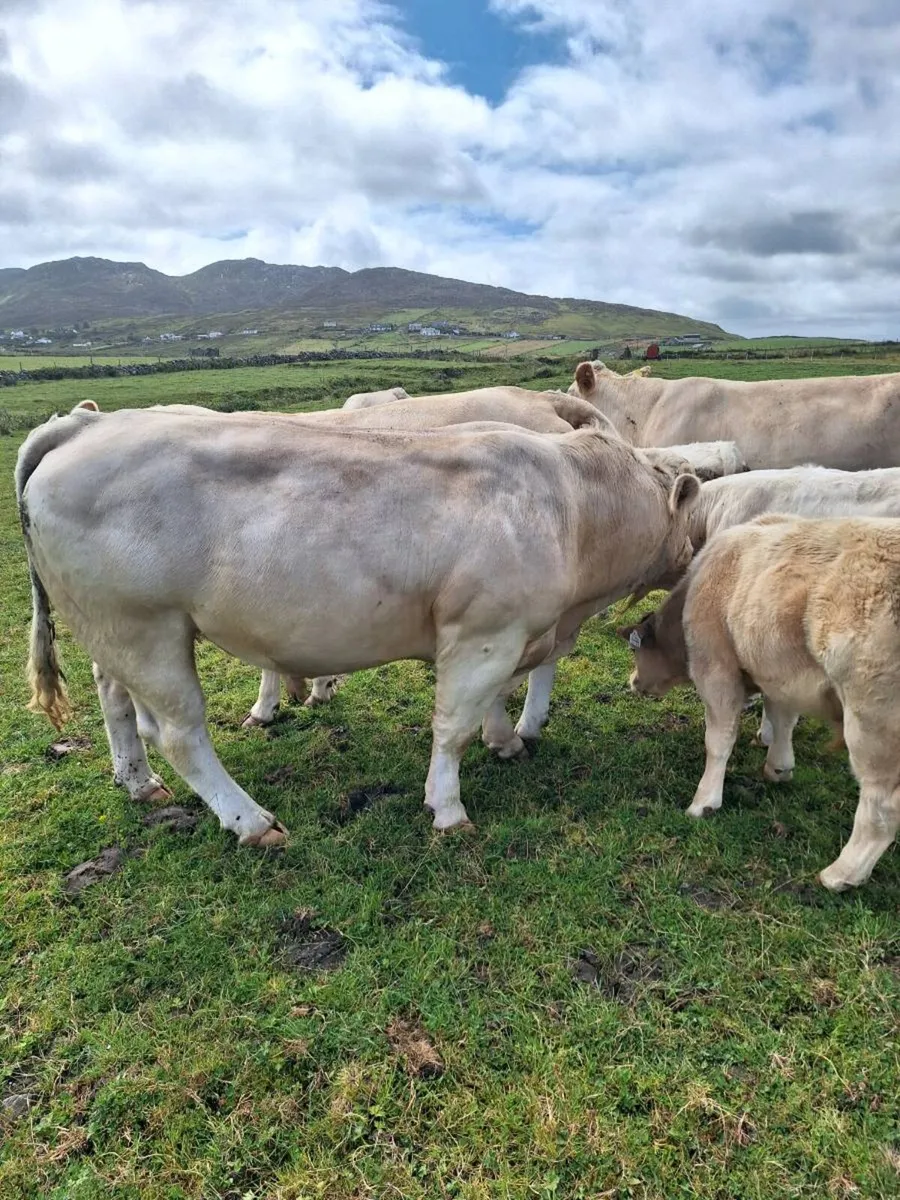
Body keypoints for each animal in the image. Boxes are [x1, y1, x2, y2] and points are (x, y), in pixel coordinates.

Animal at [17, 407, 700, 847]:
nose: (694, 553)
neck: (574, 506)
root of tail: (86, 425)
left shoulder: (511, 636)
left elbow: (492, 704)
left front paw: (505, 741)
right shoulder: (484, 632)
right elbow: (453, 725)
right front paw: (448, 808)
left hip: (112, 630)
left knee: (115, 700)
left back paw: (139, 784)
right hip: (145, 629)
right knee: (178, 733)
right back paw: (253, 823)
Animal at [618, 514, 900, 891]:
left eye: (636, 651)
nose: (633, 681)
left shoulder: (715, 668)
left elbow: (719, 741)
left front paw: (704, 802)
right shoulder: (777, 673)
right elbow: (782, 719)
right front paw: (778, 766)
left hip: (873, 722)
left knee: (881, 808)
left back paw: (841, 874)